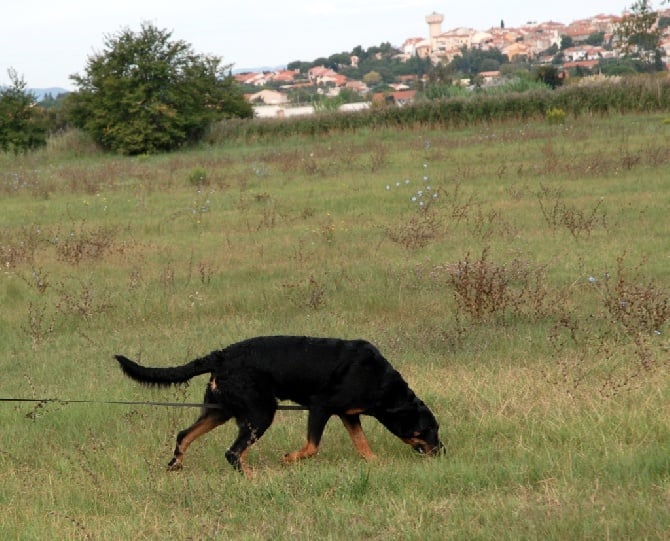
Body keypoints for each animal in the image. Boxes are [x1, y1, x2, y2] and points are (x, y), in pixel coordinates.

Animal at [114, 336, 446, 474]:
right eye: (428, 430)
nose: (442, 451)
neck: (380, 381)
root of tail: (221, 355)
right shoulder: (320, 407)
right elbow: (312, 446)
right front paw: (288, 459)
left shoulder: (347, 414)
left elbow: (362, 445)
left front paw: (376, 463)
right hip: (261, 413)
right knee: (233, 452)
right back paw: (254, 478)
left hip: (221, 411)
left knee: (185, 435)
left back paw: (176, 466)